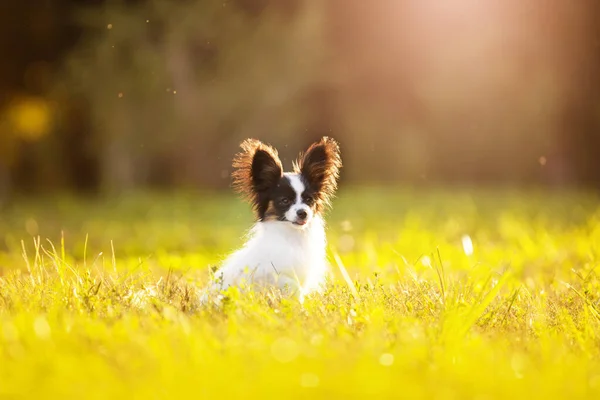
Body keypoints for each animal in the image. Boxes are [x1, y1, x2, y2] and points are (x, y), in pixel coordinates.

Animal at [203, 137, 340, 304]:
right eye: (285, 201)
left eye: (309, 200)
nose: (303, 213)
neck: (293, 237)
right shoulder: (274, 274)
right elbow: (293, 287)